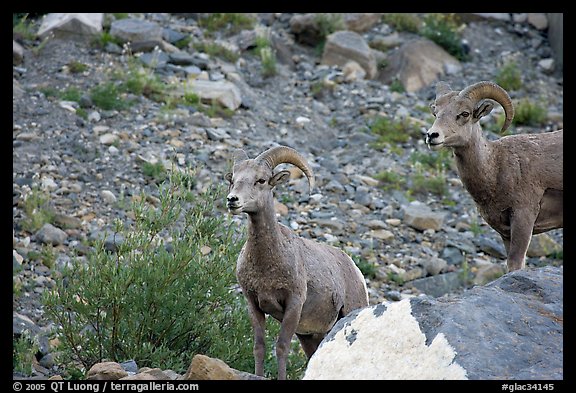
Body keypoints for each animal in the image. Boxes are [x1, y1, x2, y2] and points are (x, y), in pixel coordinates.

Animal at [225, 145, 368, 378]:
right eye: (233, 180)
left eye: (261, 180)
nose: (232, 200)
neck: (268, 265)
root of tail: (355, 269)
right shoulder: (253, 304)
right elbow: (259, 346)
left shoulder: (293, 304)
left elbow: (282, 346)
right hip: (310, 336)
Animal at [428, 79, 564, 270]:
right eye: (436, 112)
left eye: (464, 113)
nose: (432, 135)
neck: (496, 168)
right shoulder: (505, 232)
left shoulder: (523, 218)